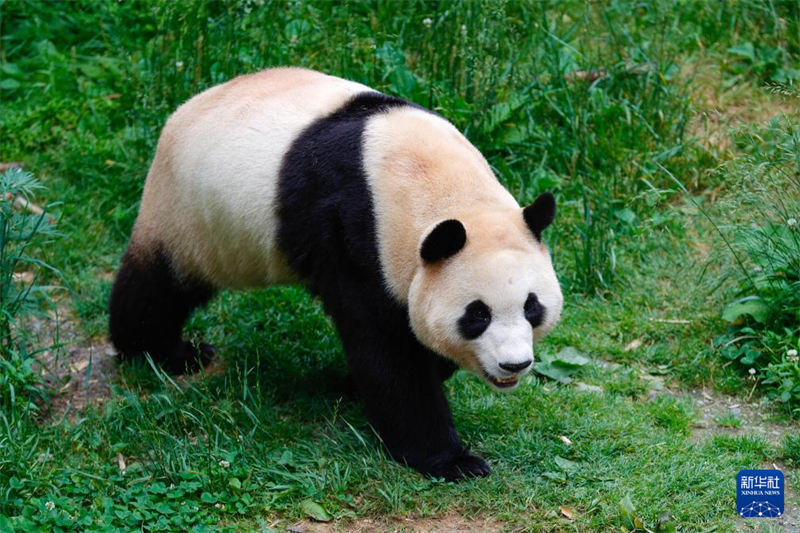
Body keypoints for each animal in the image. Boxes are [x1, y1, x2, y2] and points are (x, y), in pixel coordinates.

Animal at [109, 67, 563, 481]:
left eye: (532, 307)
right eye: (477, 314)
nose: (515, 364)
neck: (431, 180)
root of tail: (184, 109)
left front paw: (357, 382)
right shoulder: (357, 232)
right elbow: (385, 349)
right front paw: (451, 460)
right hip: (189, 215)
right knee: (158, 287)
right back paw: (164, 353)